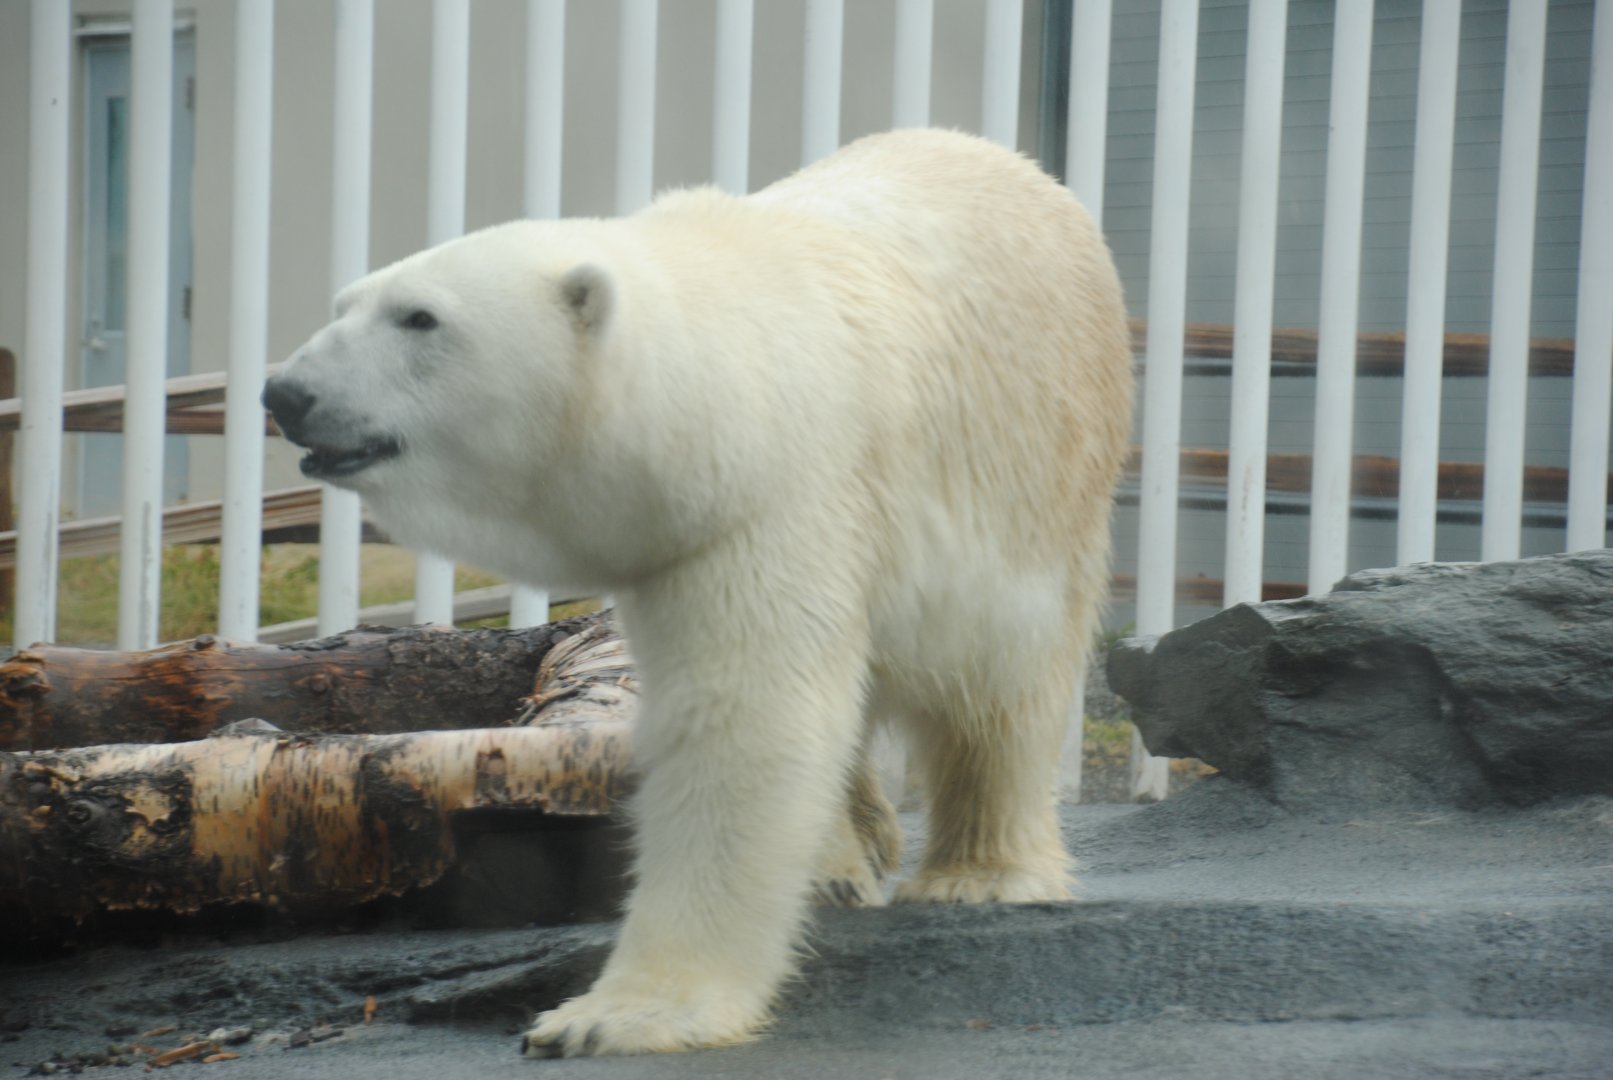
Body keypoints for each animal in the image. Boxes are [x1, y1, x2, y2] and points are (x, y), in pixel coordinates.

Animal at [263, 128, 1134, 1057]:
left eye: (420, 317)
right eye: (346, 302)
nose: (285, 392)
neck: (716, 379)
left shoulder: (777, 495)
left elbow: (743, 721)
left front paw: (611, 1017)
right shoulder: (685, 533)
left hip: (1039, 474)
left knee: (1001, 685)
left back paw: (978, 874)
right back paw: (843, 861)